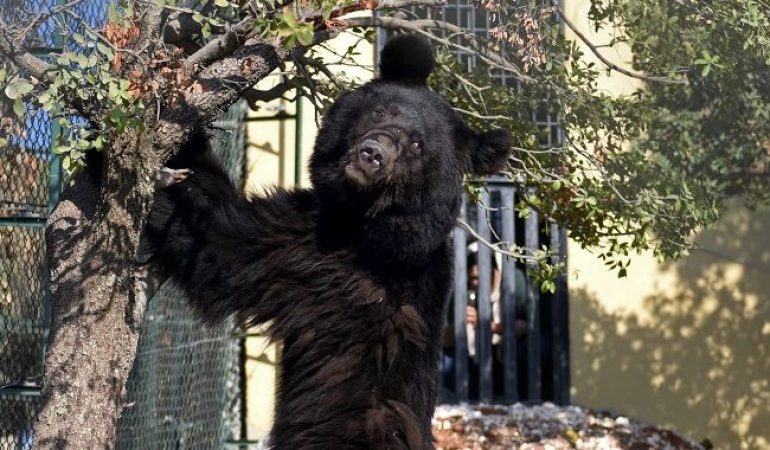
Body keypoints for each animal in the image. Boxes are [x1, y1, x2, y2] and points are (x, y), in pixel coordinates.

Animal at [144, 34, 512, 450]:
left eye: (418, 146)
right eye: (380, 112)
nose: (372, 154)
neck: (360, 224)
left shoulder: (355, 273)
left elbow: (217, 244)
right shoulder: (304, 237)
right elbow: (216, 239)